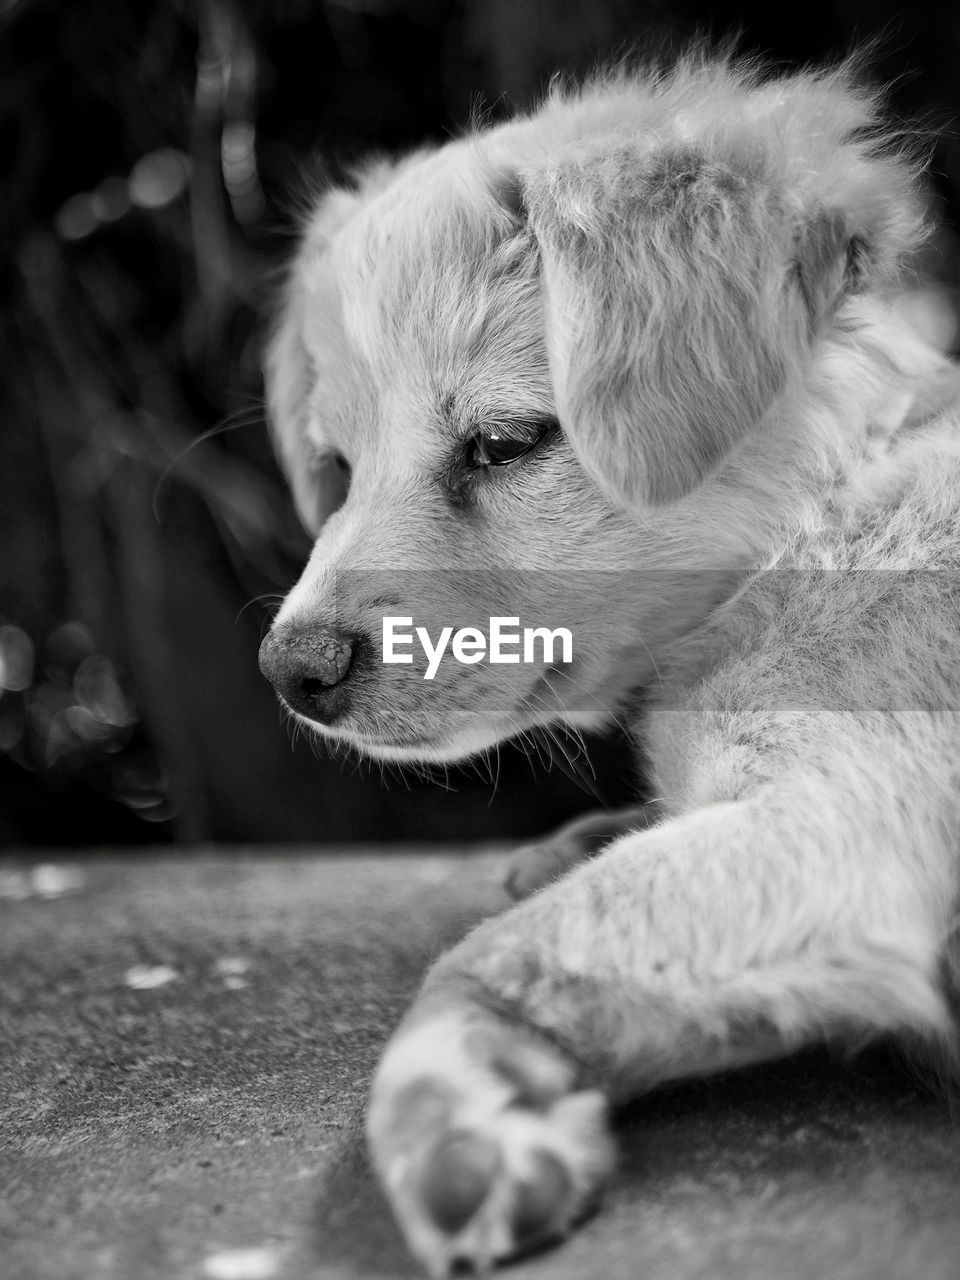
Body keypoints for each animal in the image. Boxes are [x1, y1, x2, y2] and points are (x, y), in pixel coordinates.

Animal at [257, 55, 960, 1274]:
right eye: (337, 466)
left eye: (505, 443)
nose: (291, 671)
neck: (813, 523)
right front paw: (575, 840)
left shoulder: (839, 828)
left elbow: (500, 952)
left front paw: (455, 1120)